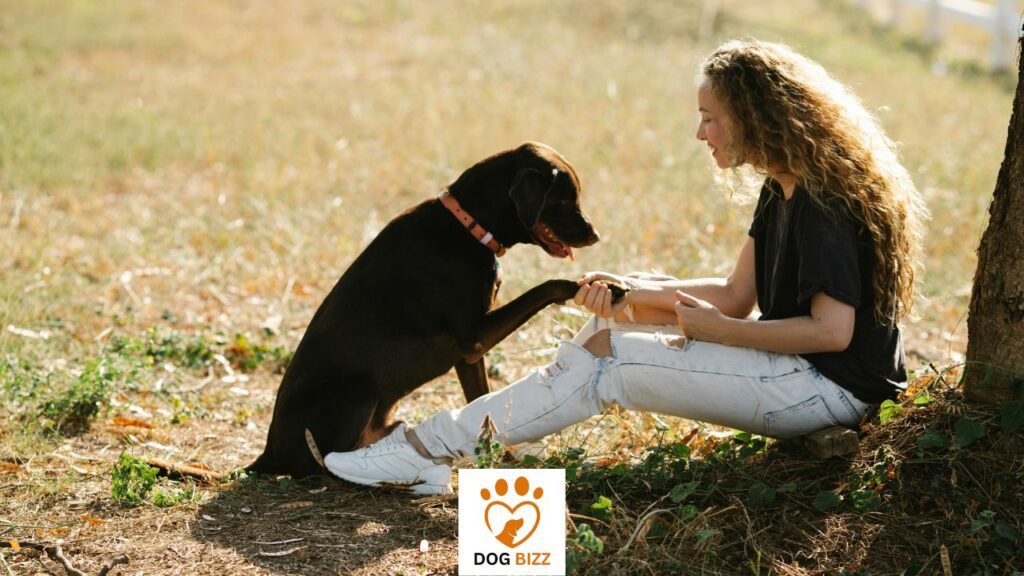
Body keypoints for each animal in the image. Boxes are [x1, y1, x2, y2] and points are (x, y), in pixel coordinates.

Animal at [250, 142, 618, 475]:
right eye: (564, 200)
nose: (596, 235)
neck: (468, 226)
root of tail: (269, 454)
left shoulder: (468, 355)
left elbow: (482, 405)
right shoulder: (474, 336)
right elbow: (549, 286)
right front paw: (604, 288)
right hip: (359, 389)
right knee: (322, 463)